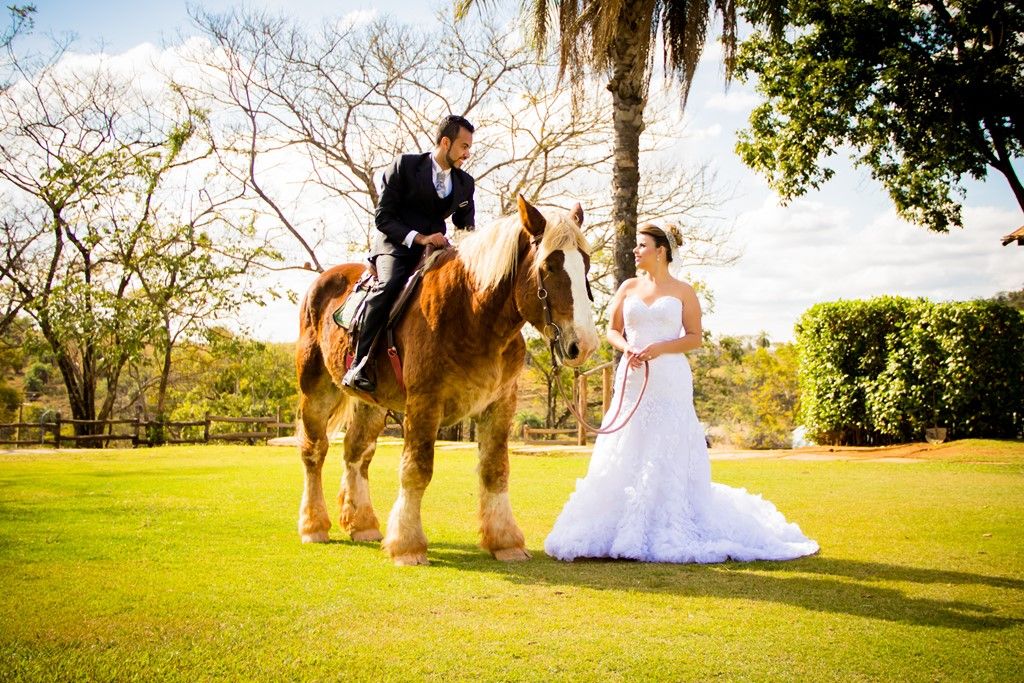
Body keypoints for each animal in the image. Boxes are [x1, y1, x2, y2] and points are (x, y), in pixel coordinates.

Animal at [294, 194, 598, 565]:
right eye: (549, 267)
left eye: (585, 263)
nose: (583, 343)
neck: (471, 312)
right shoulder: (425, 402)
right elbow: (416, 469)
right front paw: (408, 545)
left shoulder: (500, 404)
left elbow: (495, 470)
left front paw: (504, 541)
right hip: (316, 390)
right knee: (314, 450)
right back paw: (314, 525)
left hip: (372, 404)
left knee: (356, 453)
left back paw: (362, 524)